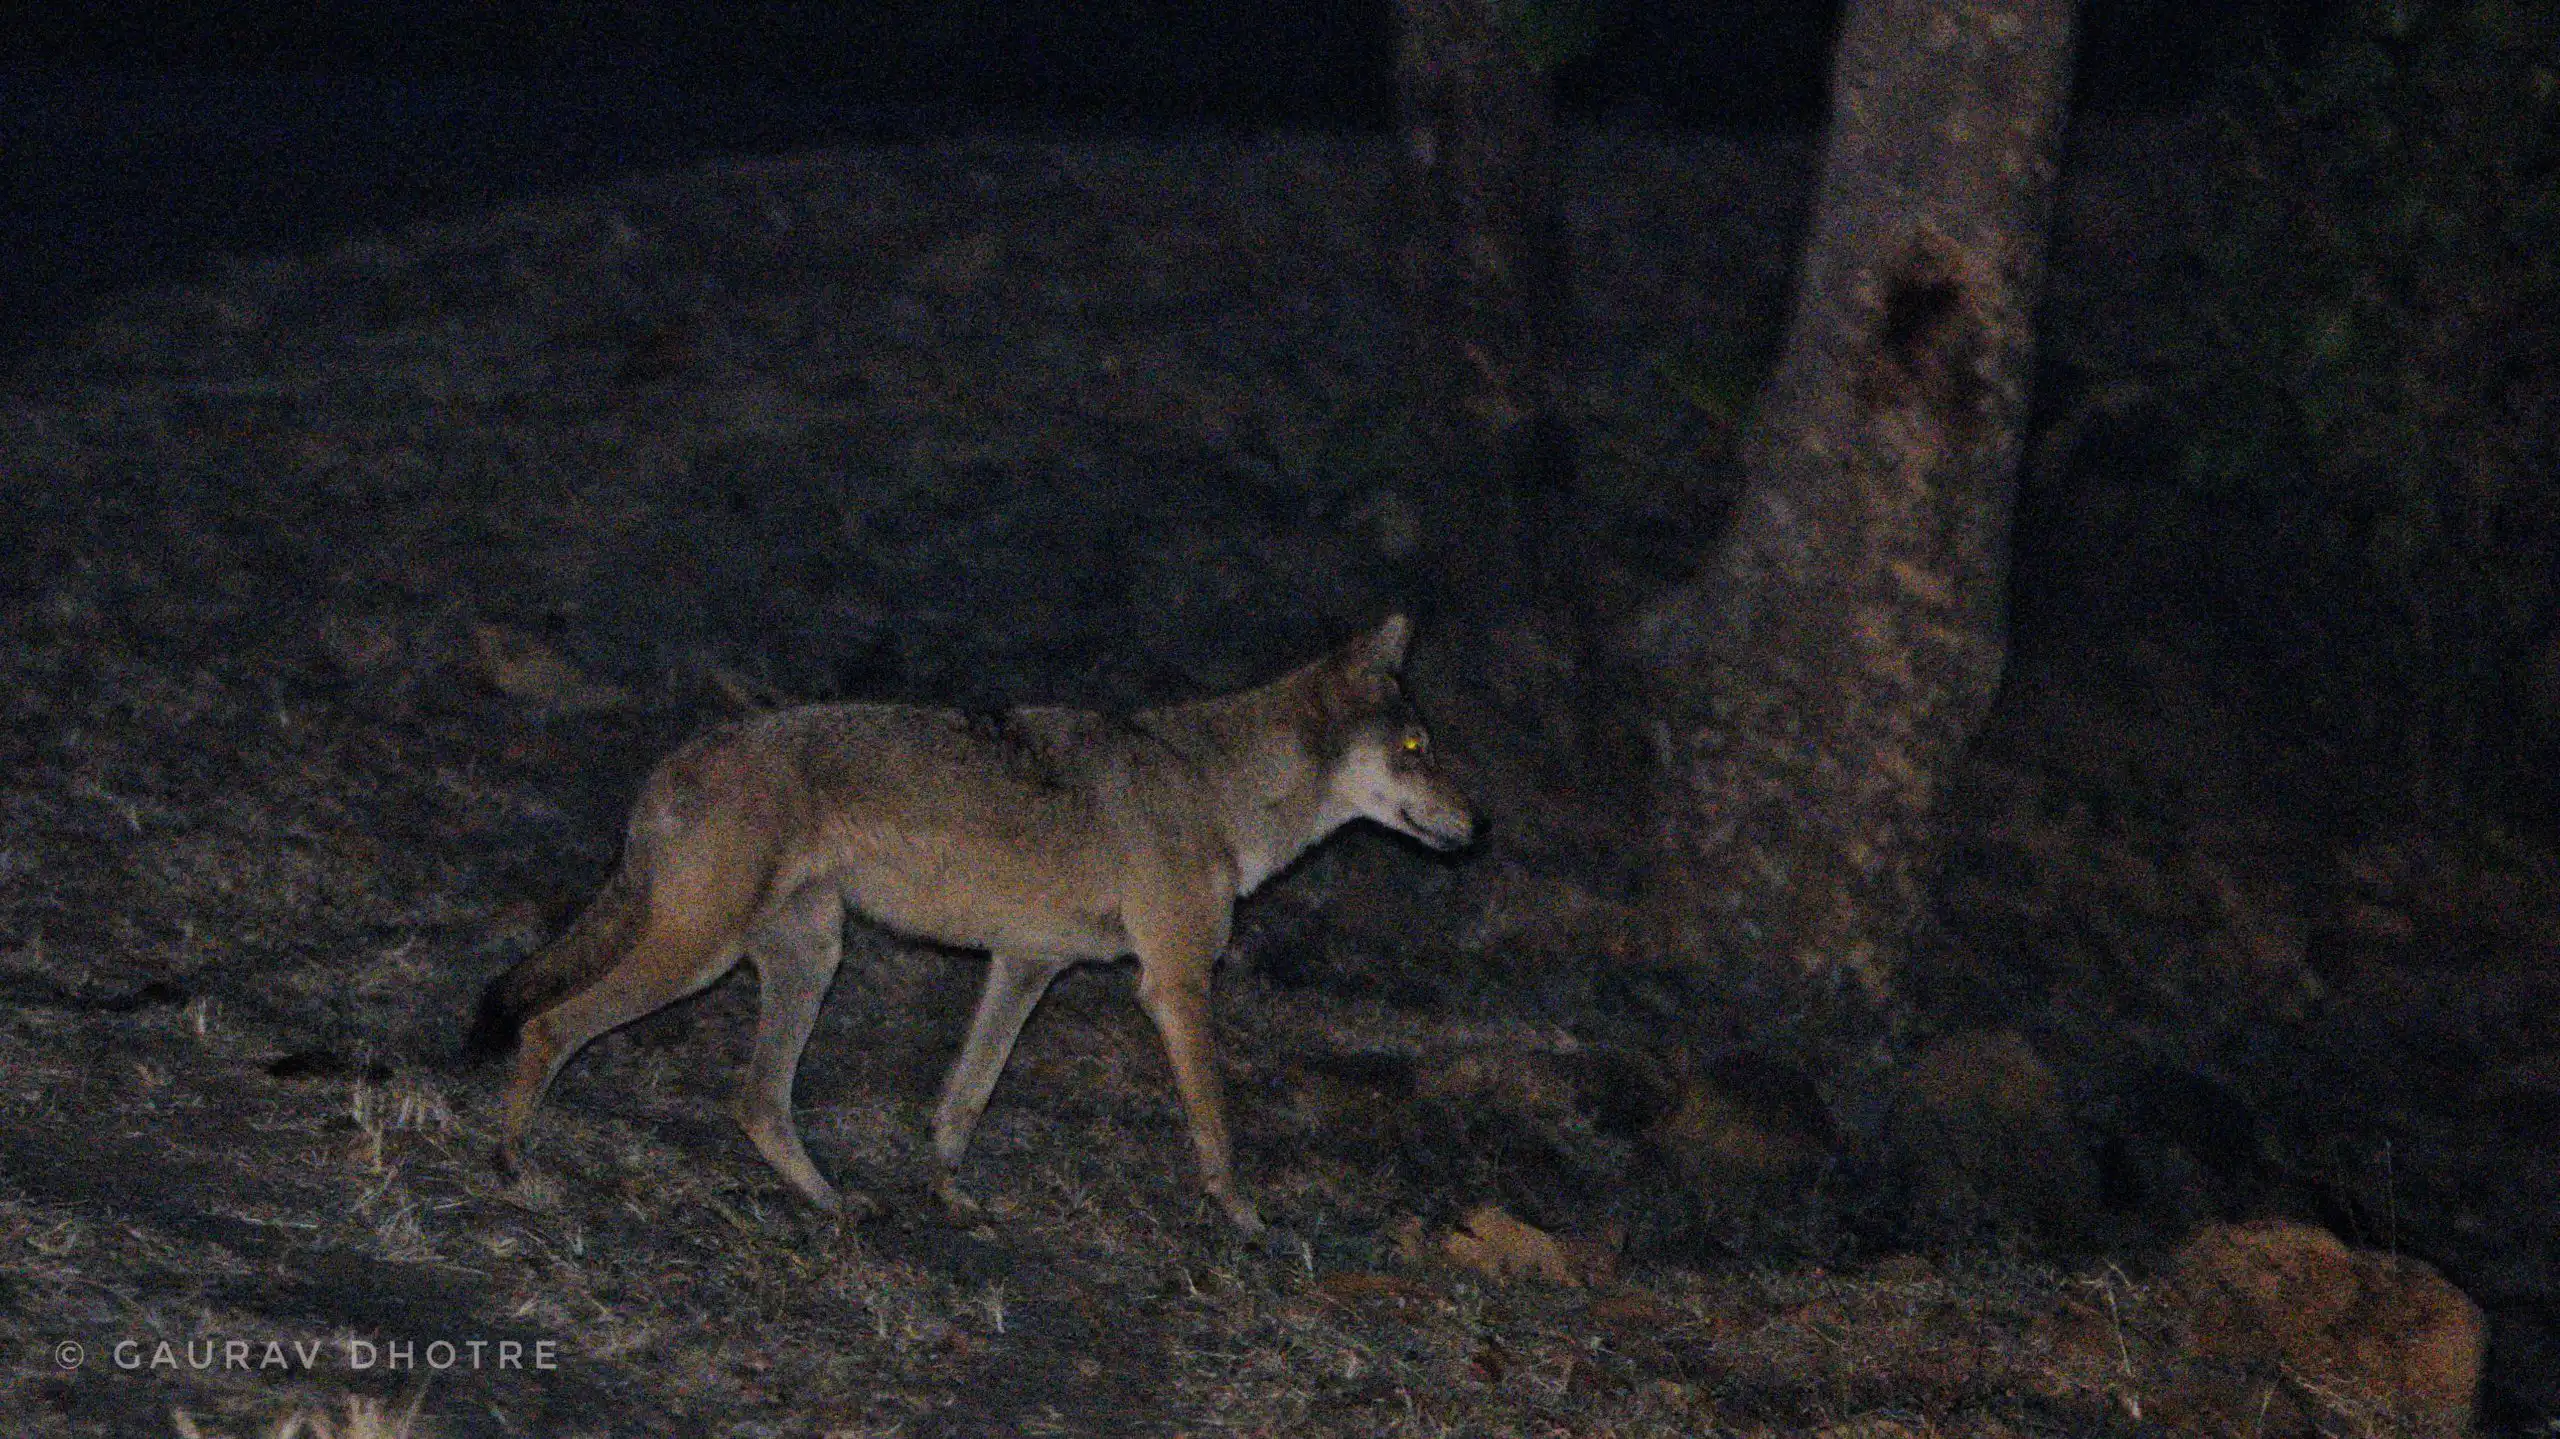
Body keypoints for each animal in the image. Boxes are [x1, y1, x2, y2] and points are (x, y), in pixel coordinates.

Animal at [469, 615, 1472, 1231]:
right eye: (1415, 747)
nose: (1480, 822)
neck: (1220, 791)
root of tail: (670, 764)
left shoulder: (1025, 965)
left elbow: (964, 1098)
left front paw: (947, 1196)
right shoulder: (1177, 984)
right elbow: (1215, 1120)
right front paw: (1242, 1218)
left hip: (809, 957)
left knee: (755, 1100)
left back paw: (834, 1204)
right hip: (700, 954)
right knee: (551, 1024)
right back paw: (516, 1163)